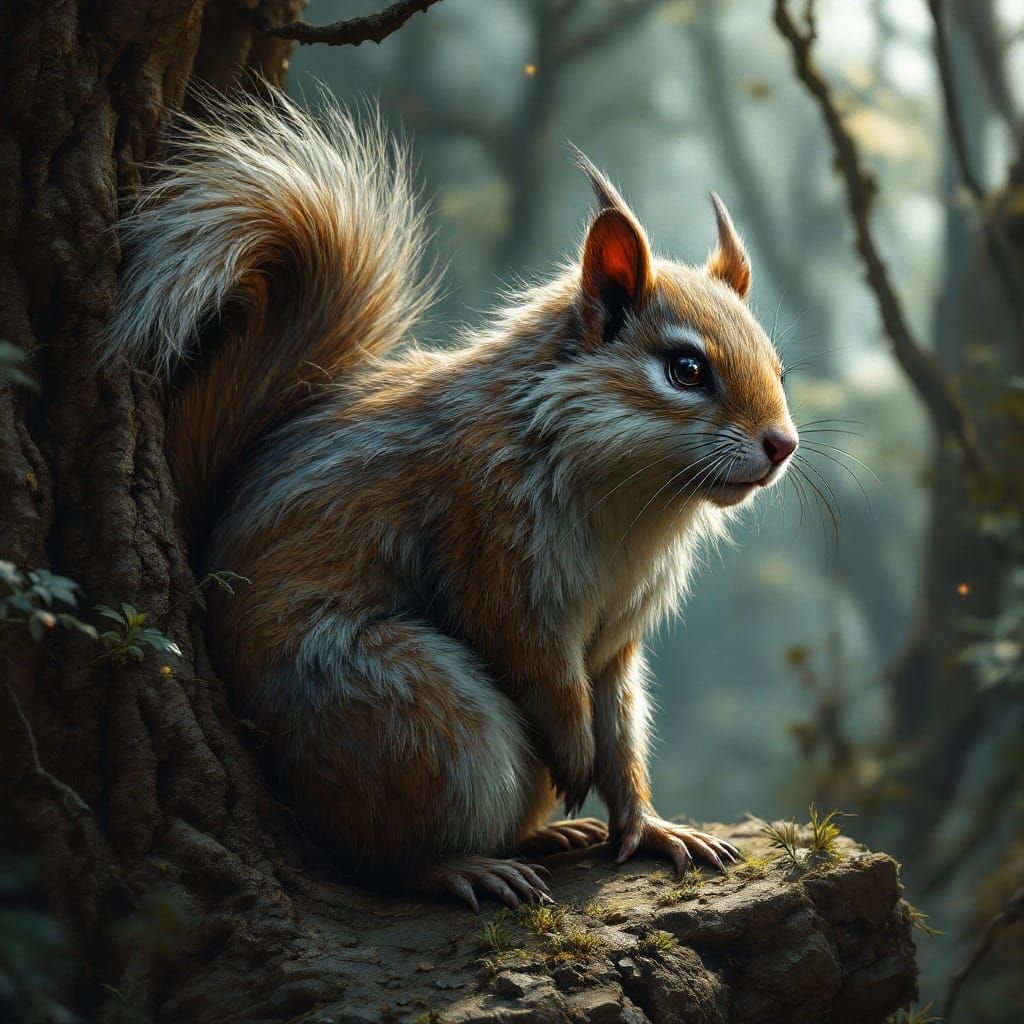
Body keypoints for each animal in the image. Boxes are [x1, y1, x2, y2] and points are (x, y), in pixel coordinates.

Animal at [103, 90, 799, 910]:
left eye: (778, 365)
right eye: (686, 369)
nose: (783, 444)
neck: (637, 502)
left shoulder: (618, 633)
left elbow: (620, 728)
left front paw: (652, 826)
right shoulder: (489, 543)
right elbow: (538, 669)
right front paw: (575, 756)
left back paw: (551, 836)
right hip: (411, 716)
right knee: (378, 859)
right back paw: (464, 867)